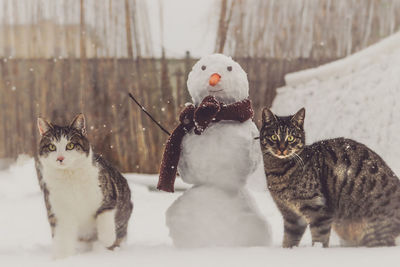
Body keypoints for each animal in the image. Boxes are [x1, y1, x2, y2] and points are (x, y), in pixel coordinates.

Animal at [36, 113, 133, 260]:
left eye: (70, 145)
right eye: (52, 147)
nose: (60, 158)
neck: (70, 177)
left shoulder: (108, 191)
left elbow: (105, 212)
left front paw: (106, 238)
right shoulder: (59, 208)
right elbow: (63, 236)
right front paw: (62, 258)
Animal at [260, 108, 400, 248]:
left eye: (291, 138)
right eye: (274, 136)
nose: (282, 149)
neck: (277, 172)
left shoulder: (318, 211)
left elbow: (319, 240)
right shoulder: (291, 216)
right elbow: (289, 240)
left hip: (374, 230)